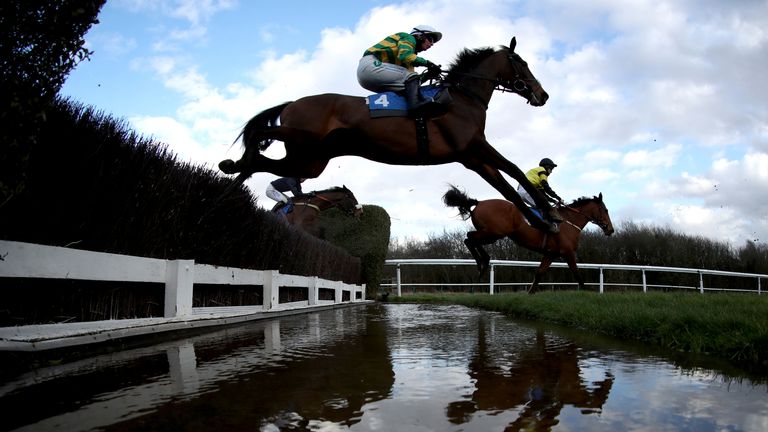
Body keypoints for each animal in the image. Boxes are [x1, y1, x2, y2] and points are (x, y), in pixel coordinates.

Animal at [219, 37, 560, 233]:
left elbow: (508, 188)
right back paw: (235, 166)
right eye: (522, 63)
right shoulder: (475, 147)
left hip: (310, 160)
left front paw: (543, 221)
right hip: (306, 145)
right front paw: (550, 216)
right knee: (261, 140)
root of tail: (293, 103)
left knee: (263, 163)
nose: (543, 95)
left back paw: (231, 179)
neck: (462, 98)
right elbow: (516, 172)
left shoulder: (472, 157)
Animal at [440, 185, 616, 294]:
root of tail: (479, 202)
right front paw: (589, 292)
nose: (610, 229)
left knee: (469, 238)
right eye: (605, 209)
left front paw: (530, 294)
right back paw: (482, 262)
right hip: (494, 233)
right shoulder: (568, 252)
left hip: (490, 233)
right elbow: (577, 273)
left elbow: (539, 274)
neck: (568, 221)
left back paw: (483, 263)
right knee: (469, 239)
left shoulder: (550, 254)